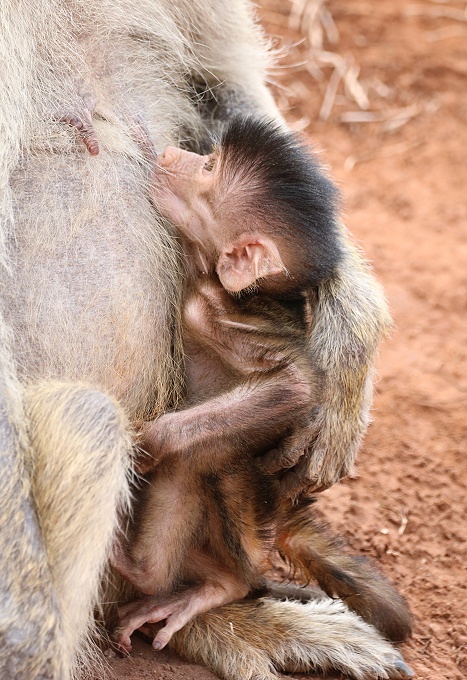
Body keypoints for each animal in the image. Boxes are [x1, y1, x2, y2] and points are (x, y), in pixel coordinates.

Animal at [0, 1, 395, 679]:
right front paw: (25, 634)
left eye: (207, 169)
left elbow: (216, 81)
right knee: (91, 421)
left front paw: (349, 327)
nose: (175, 164)